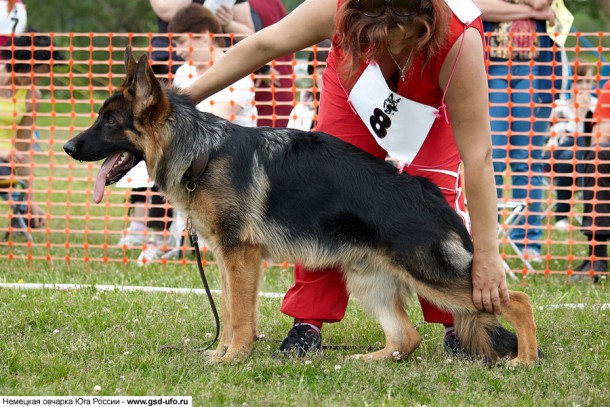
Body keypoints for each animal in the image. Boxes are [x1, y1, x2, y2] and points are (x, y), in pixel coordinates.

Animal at [63, 47, 536, 366]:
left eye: (109, 121)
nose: (67, 147)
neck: (201, 152)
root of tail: (429, 192)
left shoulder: (241, 257)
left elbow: (239, 316)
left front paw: (232, 358)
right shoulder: (227, 258)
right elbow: (232, 310)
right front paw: (223, 353)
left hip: (430, 273)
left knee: (518, 301)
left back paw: (524, 361)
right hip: (367, 281)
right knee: (406, 338)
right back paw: (367, 361)